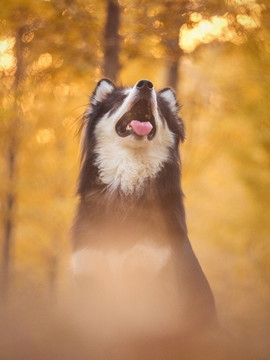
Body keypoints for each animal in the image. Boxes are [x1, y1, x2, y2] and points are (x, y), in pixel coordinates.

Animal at [71, 77, 217, 348]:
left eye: (158, 103)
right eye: (120, 98)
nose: (145, 84)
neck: (125, 185)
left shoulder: (150, 278)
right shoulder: (91, 278)